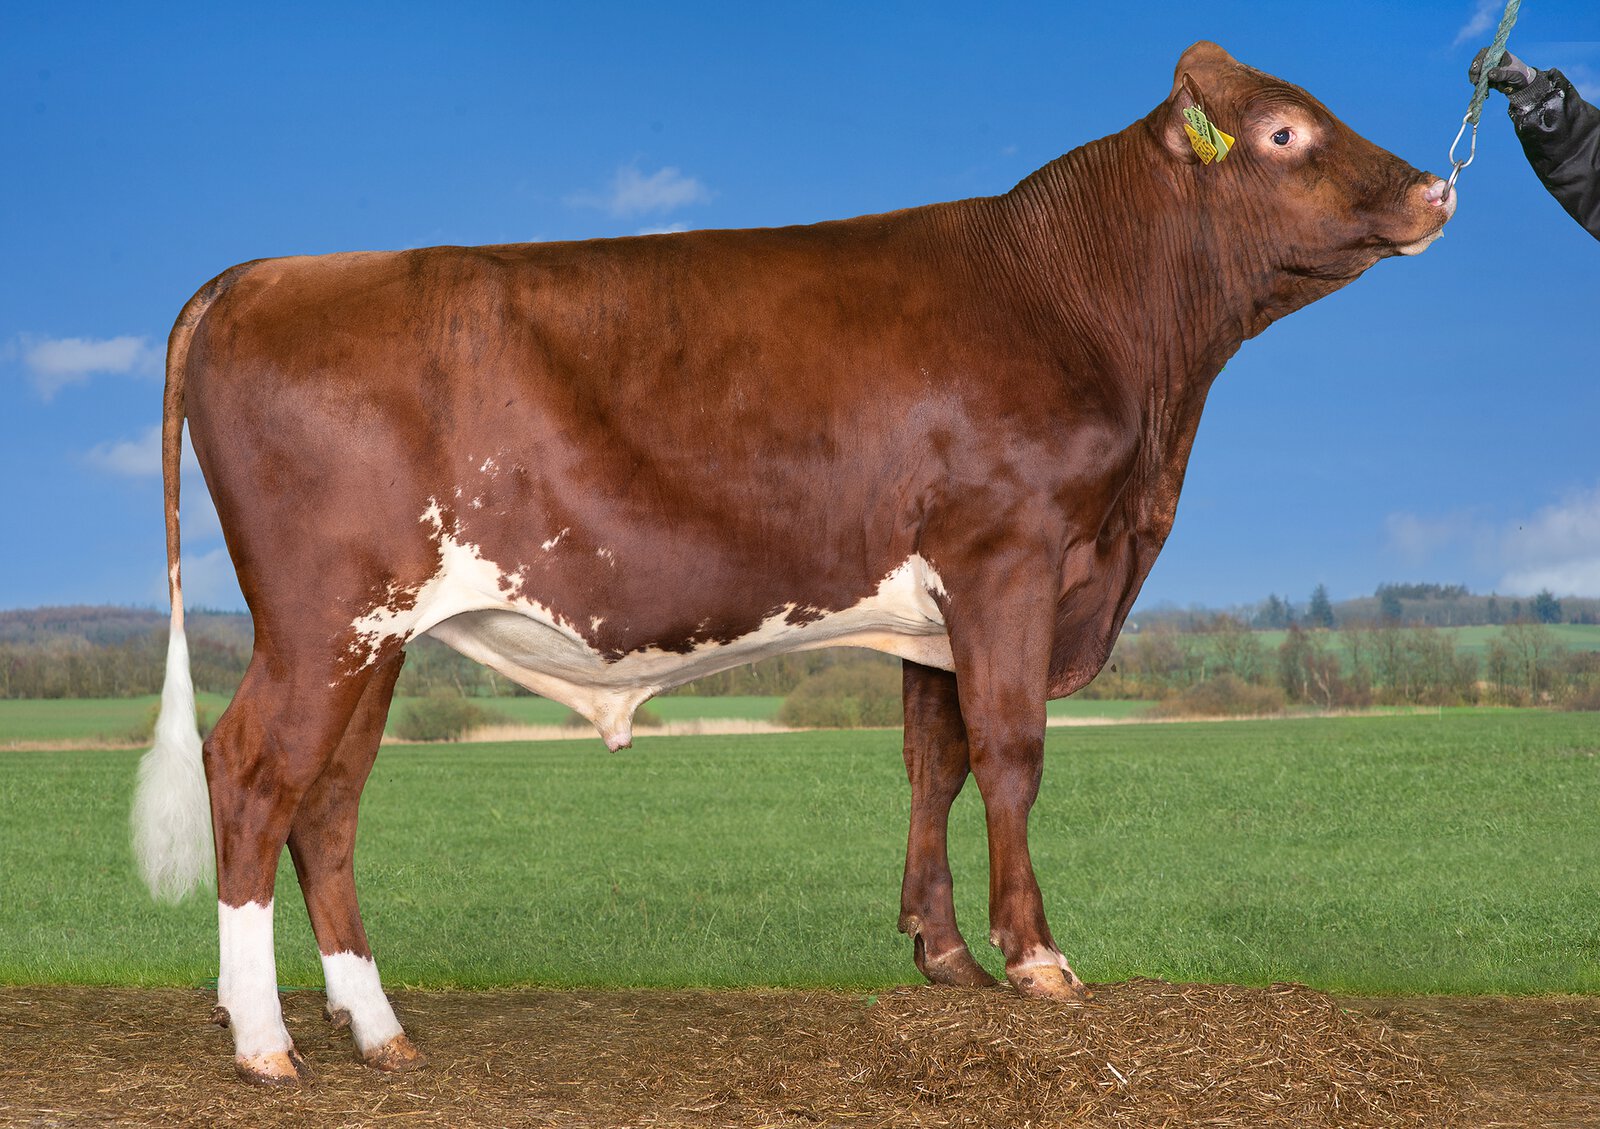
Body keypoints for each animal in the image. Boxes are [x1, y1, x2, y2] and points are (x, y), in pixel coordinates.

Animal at [133, 41, 1453, 1084]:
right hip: (326, 616)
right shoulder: (1010, 554)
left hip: (379, 635)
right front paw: (1037, 960)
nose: (1435, 186)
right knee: (250, 772)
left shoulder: (937, 604)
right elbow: (1011, 753)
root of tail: (269, 273)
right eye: (1283, 132)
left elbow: (934, 761)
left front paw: (944, 957)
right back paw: (264, 1041)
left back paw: (377, 1028)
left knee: (329, 799)